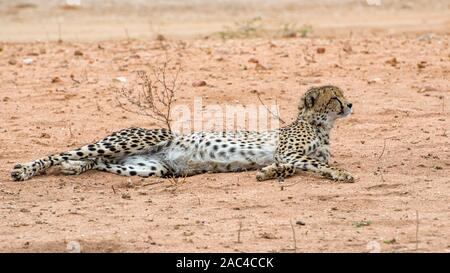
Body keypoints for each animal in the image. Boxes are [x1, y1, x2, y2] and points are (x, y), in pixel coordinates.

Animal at [10, 85, 354, 182]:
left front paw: (267, 173)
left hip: (149, 167)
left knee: (98, 161)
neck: (320, 125)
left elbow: (290, 167)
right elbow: (314, 164)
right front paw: (341, 174)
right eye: (335, 97)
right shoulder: (289, 151)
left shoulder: (287, 156)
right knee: (64, 152)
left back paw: (73, 168)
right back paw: (25, 170)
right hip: (150, 136)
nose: (350, 104)